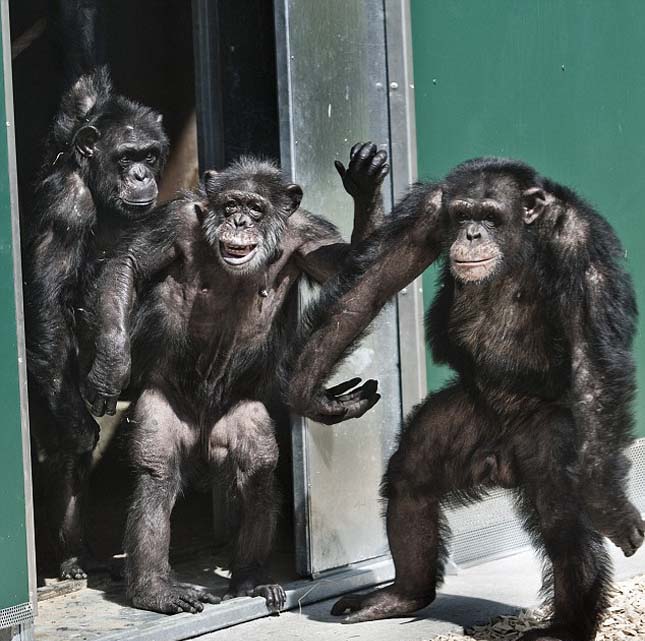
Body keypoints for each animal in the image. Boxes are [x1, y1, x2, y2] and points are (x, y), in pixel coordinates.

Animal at [24, 2, 169, 580]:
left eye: (150, 156)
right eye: (127, 156)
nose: (140, 175)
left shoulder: (81, 107)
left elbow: (82, 66)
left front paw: (111, 358)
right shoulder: (68, 208)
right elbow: (46, 302)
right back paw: (71, 552)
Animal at [83, 142, 390, 612]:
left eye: (256, 208)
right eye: (230, 205)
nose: (240, 222)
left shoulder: (309, 235)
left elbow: (354, 270)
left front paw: (365, 186)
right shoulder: (174, 220)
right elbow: (129, 264)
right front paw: (110, 365)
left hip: (240, 415)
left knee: (257, 468)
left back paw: (248, 579)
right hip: (164, 407)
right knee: (157, 473)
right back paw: (155, 590)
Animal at [290, 156, 640, 640]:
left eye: (489, 216)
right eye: (462, 215)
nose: (472, 234)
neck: (523, 235)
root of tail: (502, 462)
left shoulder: (580, 243)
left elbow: (592, 355)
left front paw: (611, 505)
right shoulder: (427, 214)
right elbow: (371, 286)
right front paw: (309, 393)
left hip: (552, 435)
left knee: (561, 519)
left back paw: (566, 626)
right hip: (465, 421)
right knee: (412, 476)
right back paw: (404, 594)